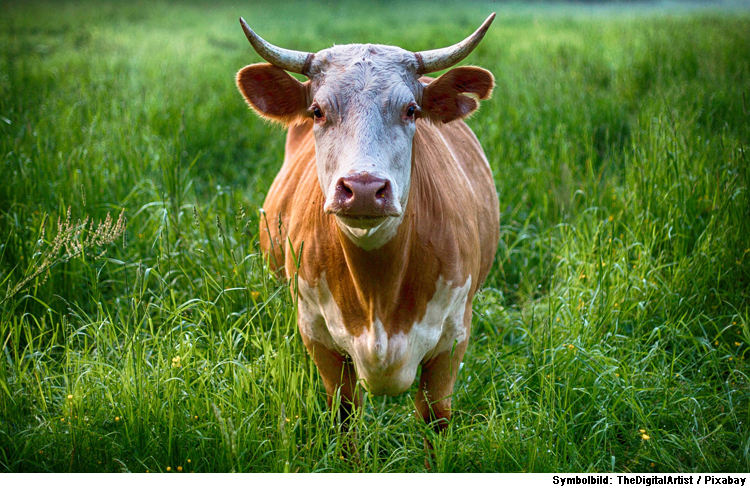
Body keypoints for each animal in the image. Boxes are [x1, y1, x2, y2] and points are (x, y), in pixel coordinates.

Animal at [238, 12, 502, 450]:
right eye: (317, 111)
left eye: (411, 109)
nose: (363, 188)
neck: (378, 292)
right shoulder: (318, 336)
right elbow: (344, 418)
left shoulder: (452, 340)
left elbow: (436, 421)